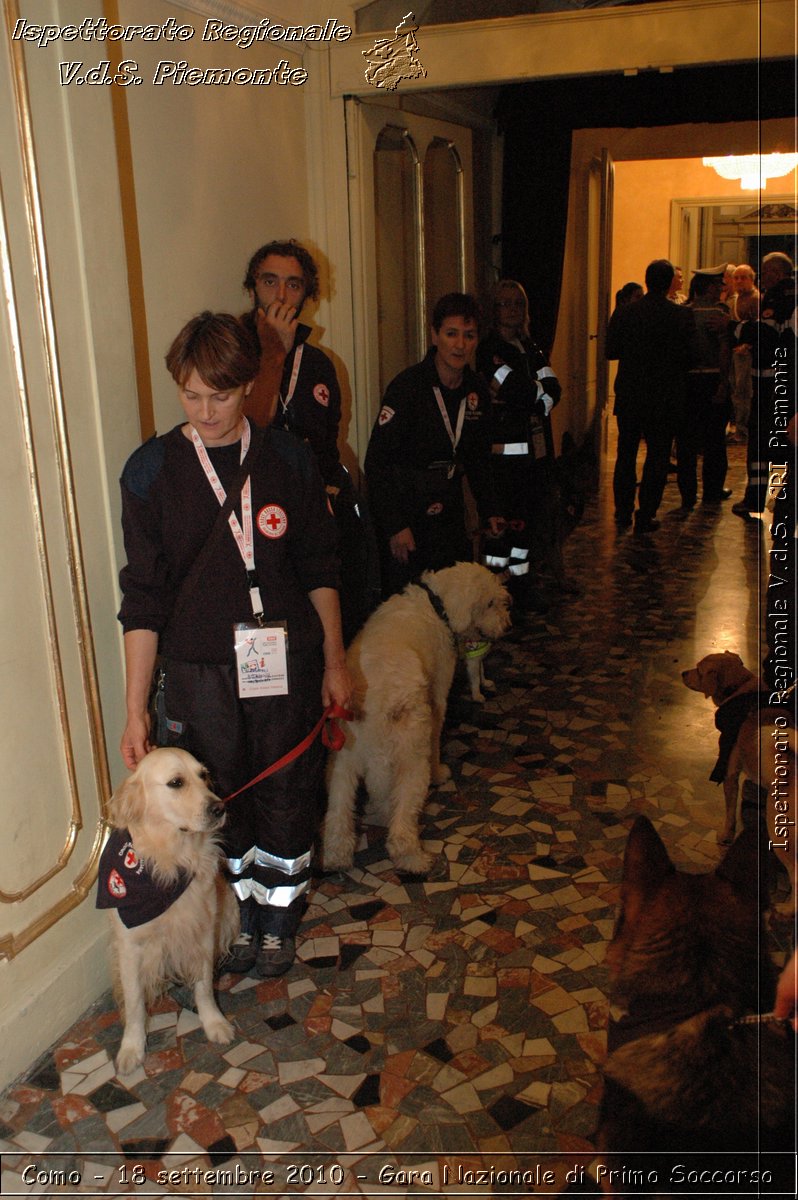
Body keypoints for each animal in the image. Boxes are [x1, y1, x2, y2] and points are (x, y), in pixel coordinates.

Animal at [99, 748, 237, 1080]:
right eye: (176, 782)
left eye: (203, 775)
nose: (220, 807)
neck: (171, 860)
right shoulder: (130, 945)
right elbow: (135, 1002)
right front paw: (132, 1048)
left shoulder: (203, 931)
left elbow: (204, 987)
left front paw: (214, 1023)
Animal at [319, 561, 511, 873]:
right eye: (490, 603)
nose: (507, 626)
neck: (435, 605)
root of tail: (376, 707)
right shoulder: (438, 697)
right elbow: (438, 738)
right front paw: (441, 773)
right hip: (411, 758)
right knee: (401, 824)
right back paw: (415, 860)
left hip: (341, 764)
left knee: (338, 815)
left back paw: (335, 858)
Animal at [681, 652, 792, 912]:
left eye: (699, 670)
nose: (682, 673)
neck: (741, 689)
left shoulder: (730, 770)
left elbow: (730, 812)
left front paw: (726, 836)